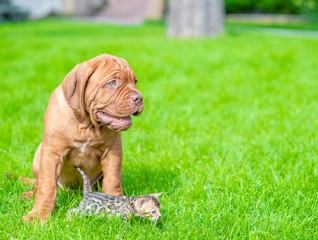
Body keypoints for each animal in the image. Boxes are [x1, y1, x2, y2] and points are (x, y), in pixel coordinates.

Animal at [23, 54, 145, 221]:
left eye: (135, 82)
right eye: (112, 83)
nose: (139, 98)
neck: (87, 125)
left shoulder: (112, 152)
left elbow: (113, 180)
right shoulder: (52, 153)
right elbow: (47, 187)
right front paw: (38, 214)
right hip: (39, 154)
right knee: (38, 183)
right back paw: (29, 194)